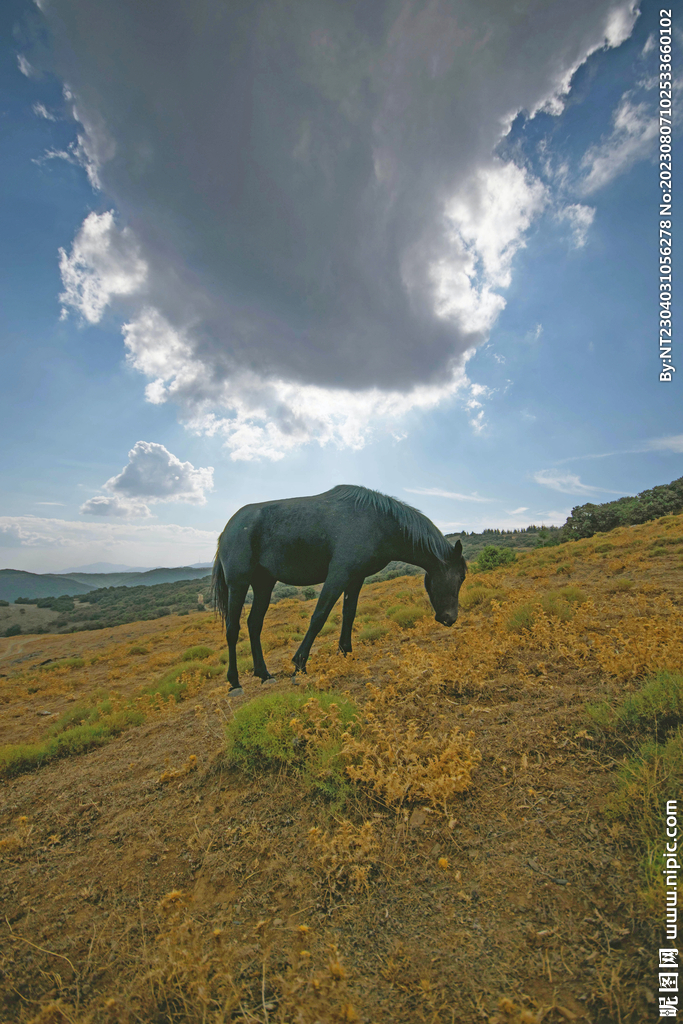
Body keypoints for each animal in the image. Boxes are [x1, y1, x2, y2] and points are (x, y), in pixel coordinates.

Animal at [211, 484, 466, 694]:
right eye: (460, 576)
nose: (450, 618)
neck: (377, 522)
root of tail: (227, 529)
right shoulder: (338, 575)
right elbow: (319, 617)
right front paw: (299, 666)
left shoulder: (355, 578)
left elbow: (349, 614)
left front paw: (345, 652)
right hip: (238, 584)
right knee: (232, 629)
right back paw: (234, 683)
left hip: (264, 584)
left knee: (254, 624)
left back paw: (264, 674)